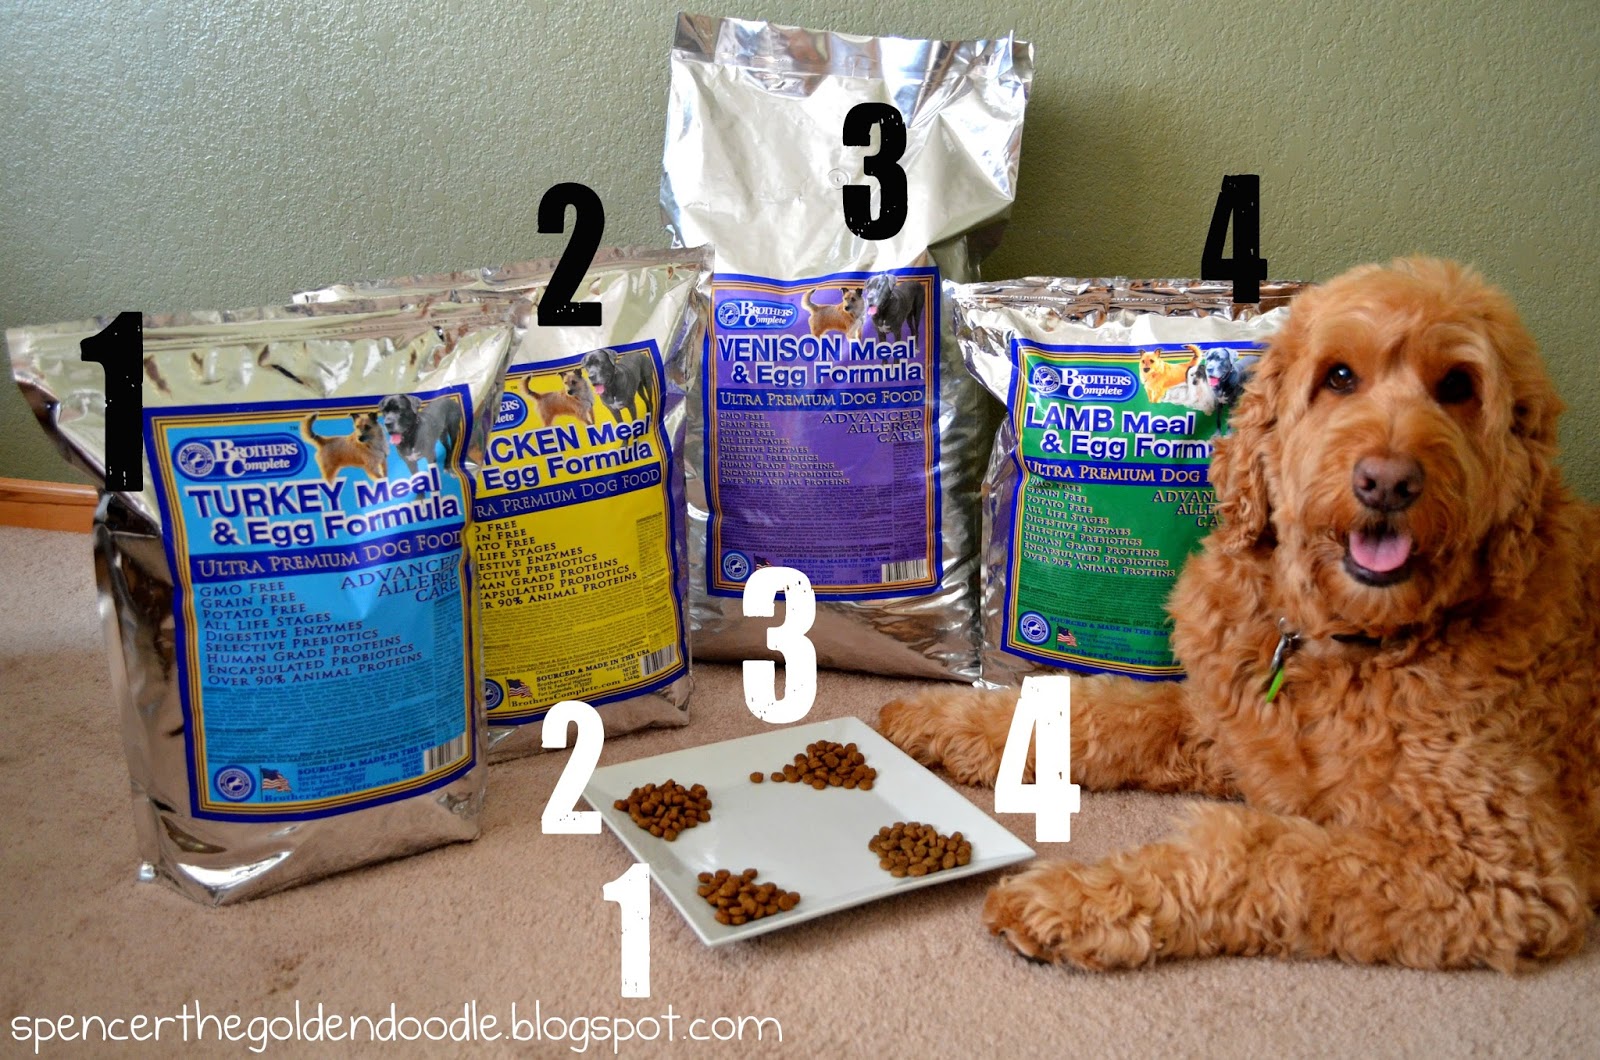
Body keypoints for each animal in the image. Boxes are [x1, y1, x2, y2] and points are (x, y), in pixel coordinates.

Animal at [879, 258, 1600, 971]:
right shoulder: (1218, 719)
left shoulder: (1491, 867)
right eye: (1340, 376)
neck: (1331, 642)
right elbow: (1097, 709)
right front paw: (935, 718)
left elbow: (1258, 858)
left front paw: (1074, 898)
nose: (1387, 481)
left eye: (1458, 386)